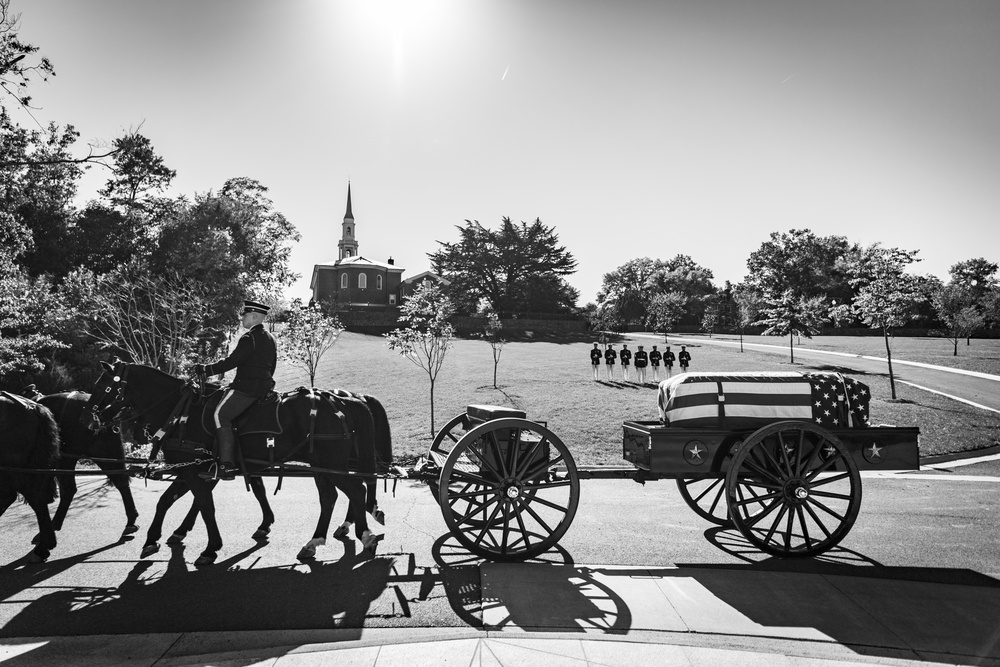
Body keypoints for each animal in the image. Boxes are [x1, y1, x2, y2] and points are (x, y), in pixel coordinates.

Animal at [86, 360, 390, 568]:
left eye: (103, 386)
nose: (90, 420)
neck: (182, 412)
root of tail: (343, 400)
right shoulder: (192, 470)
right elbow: (169, 501)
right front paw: (154, 539)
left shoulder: (194, 470)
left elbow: (205, 506)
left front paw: (210, 547)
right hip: (322, 466)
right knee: (332, 497)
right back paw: (315, 541)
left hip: (330, 463)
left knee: (356, 490)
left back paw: (364, 534)